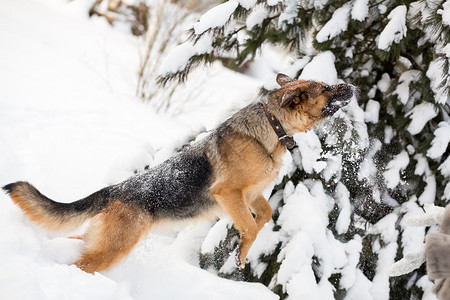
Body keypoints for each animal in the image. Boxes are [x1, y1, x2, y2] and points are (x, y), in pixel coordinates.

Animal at [3, 74, 356, 274]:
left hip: (104, 240)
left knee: (75, 244)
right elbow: (250, 227)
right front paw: (241, 254)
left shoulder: (254, 195)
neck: (272, 126)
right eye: (325, 88)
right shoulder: (229, 195)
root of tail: (114, 189)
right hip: (114, 248)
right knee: (80, 265)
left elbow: (265, 216)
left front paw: (243, 249)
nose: (351, 86)